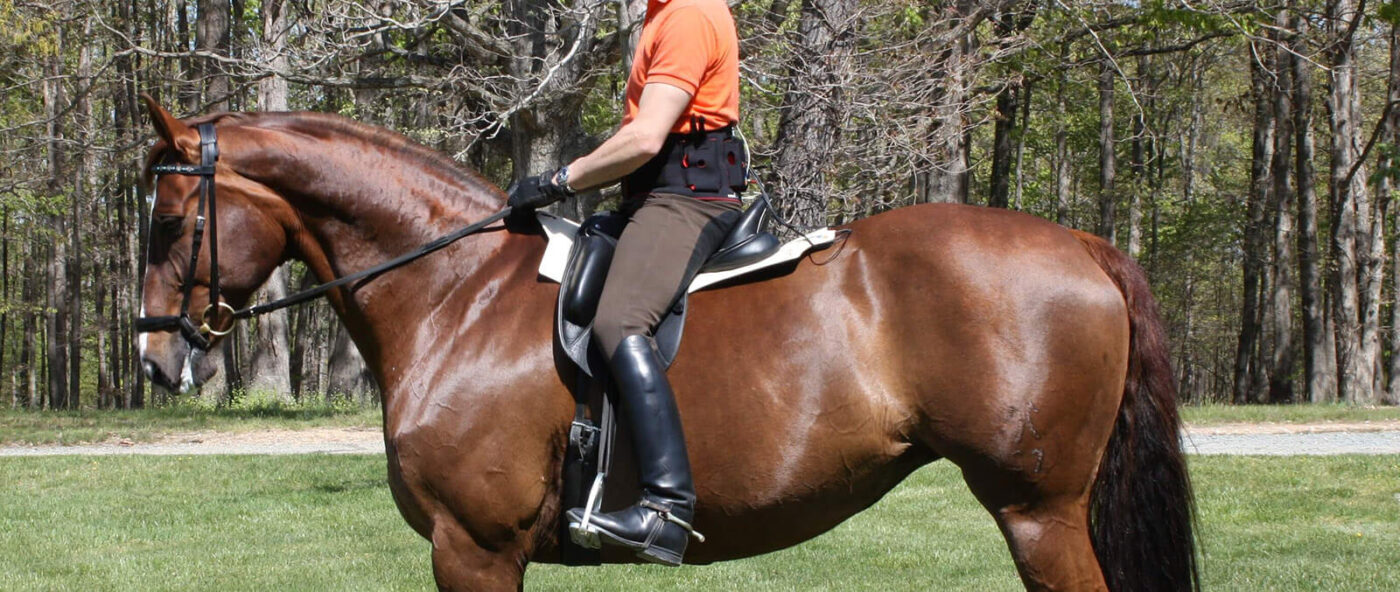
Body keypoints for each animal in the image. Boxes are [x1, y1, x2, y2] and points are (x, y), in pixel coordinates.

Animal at [135, 96, 1198, 592]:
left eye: (168, 220)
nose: (154, 355)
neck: (453, 292)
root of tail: (1086, 246)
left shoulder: (471, 549)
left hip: (1036, 512)